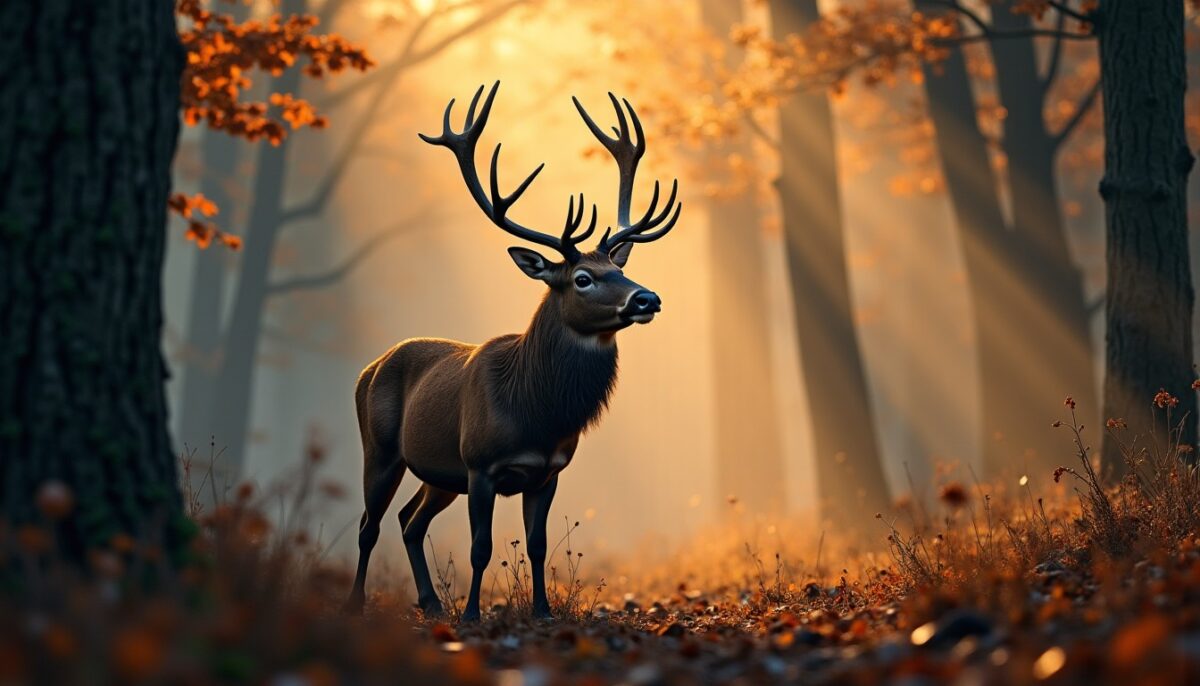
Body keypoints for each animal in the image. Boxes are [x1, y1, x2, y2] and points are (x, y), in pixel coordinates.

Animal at [343, 82, 681, 621]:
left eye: (620, 269)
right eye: (582, 278)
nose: (647, 298)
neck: (536, 412)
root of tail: (368, 368)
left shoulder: (547, 471)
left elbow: (538, 545)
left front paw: (541, 611)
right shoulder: (480, 464)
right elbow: (480, 547)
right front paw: (473, 614)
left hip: (441, 473)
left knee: (410, 520)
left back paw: (431, 603)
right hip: (380, 447)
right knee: (369, 524)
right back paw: (358, 603)